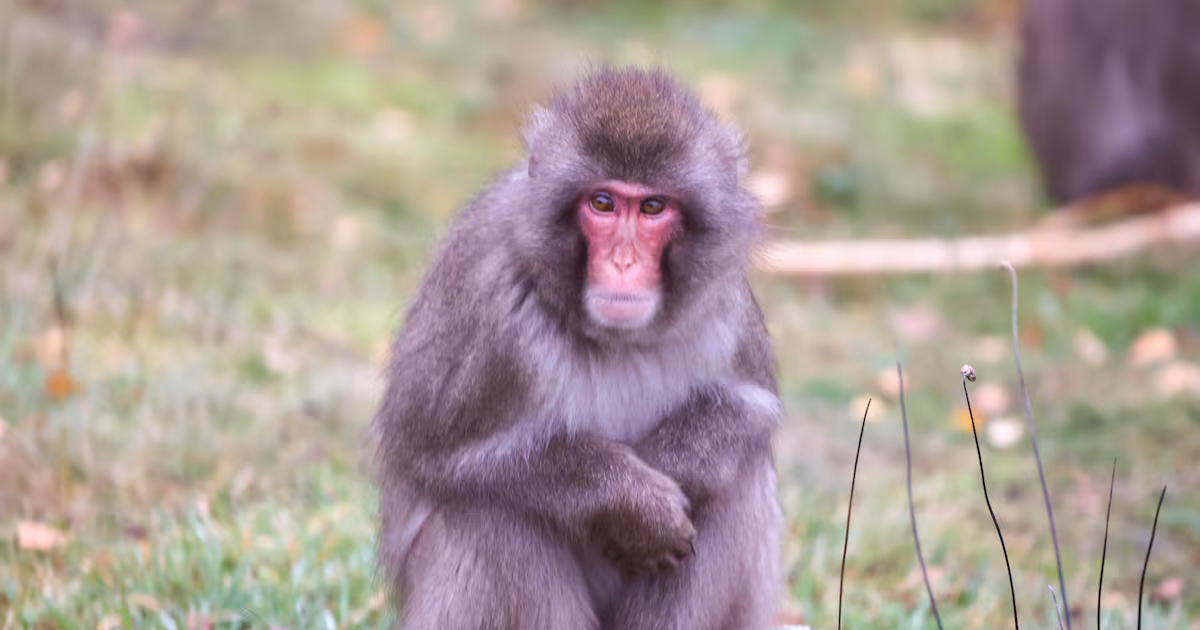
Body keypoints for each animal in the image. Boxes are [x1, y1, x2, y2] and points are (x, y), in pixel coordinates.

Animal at [371, 67, 783, 630]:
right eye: (602, 203)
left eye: (652, 206)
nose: (624, 261)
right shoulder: (485, 299)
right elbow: (433, 454)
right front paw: (634, 504)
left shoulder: (725, 302)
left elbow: (751, 409)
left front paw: (675, 466)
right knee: (489, 510)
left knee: (734, 479)